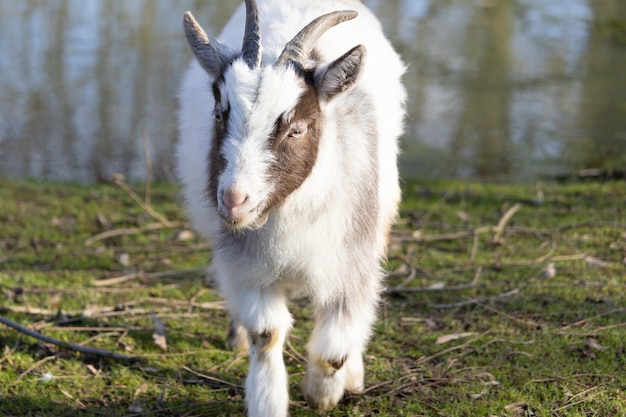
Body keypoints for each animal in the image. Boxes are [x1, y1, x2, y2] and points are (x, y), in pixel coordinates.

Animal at [176, 1, 404, 414]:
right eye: (219, 115)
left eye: (296, 129)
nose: (233, 200)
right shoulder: (248, 266)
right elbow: (266, 334)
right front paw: (268, 402)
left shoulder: (352, 259)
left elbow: (335, 347)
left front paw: (323, 393)